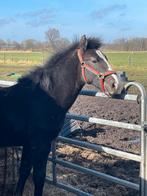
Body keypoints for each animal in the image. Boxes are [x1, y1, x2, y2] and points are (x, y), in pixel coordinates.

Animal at [0, 35, 125, 196]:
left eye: (106, 57)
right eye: (94, 60)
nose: (116, 85)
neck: (41, 99)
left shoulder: (28, 144)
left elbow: (24, 171)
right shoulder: (41, 144)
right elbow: (38, 176)